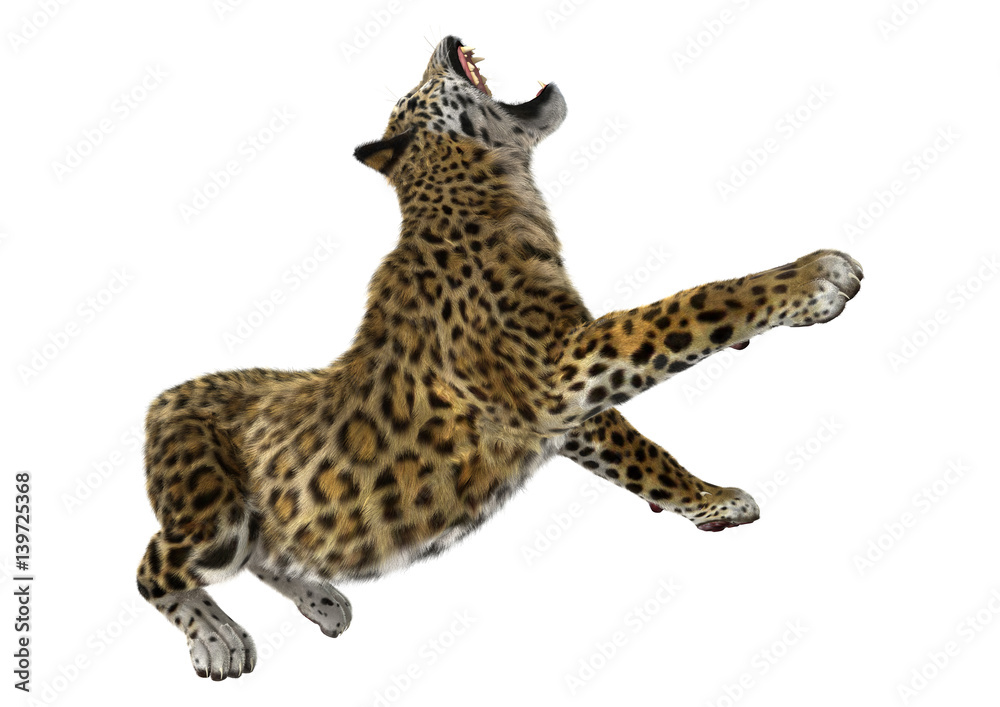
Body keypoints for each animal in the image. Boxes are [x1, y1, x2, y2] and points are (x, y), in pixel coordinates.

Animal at [136, 35, 863, 680]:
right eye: (412, 90)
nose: (445, 37)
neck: (500, 187)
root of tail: (162, 396)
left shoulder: (567, 408)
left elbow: (643, 455)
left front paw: (711, 502)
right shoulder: (554, 376)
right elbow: (689, 309)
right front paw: (813, 279)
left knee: (266, 554)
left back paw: (322, 598)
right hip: (214, 519)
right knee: (153, 567)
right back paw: (219, 640)